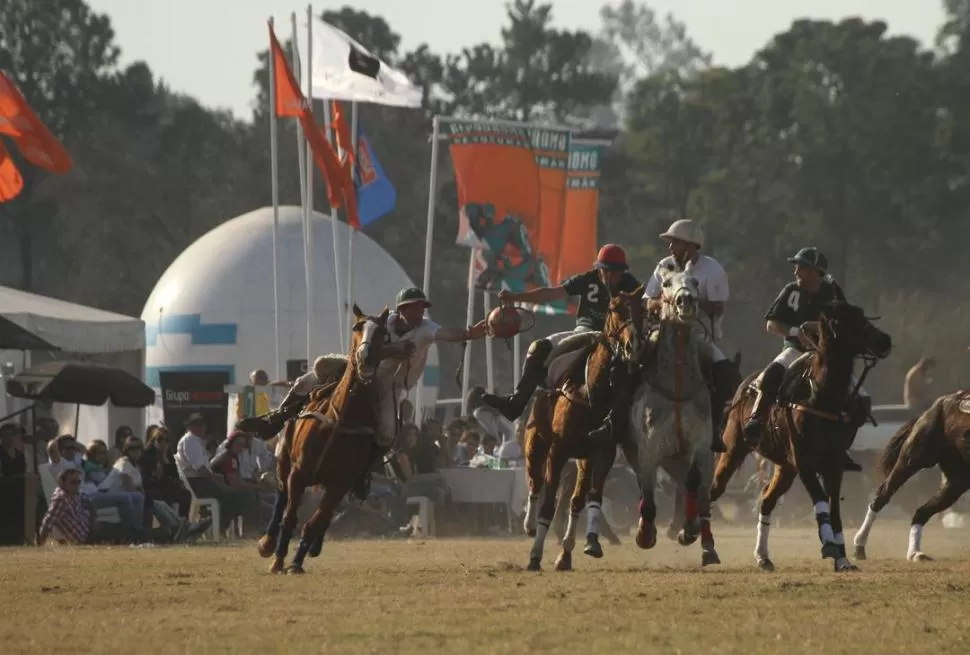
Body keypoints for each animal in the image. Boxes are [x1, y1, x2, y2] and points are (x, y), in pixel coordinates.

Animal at [258, 306, 394, 576]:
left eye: (383, 333)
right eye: (357, 327)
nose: (365, 358)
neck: (340, 418)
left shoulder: (339, 484)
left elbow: (315, 521)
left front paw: (296, 562)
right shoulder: (299, 473)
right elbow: (290, 516)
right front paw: (278, 560)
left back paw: (313, 546)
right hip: (284, 457)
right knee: (280, 497)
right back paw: (267, 543)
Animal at [520, 284, 644, 572]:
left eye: (642, 311)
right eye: (615, 309)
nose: (632, 347)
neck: (591, 393)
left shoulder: (602, 452)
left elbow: (591, 497)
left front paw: (587, 544)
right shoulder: (557, 451)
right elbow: (548, 503)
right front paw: (535, 555)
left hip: (581, 459)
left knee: (574, 499)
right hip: (535, 441)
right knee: (534, 482)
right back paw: (529, 526)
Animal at [628, 264, 720, 568]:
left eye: (695, 282)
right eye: (666, 283)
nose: (685, 301)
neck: (677, 387)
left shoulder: (700, 445)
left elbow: (692, 482)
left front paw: (688, 529)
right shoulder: (648, 450)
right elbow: (647, 493)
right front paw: (645, 534)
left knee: (701, 497)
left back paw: (706, 544)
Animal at [708, 302, 888, 576]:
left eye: (863, 317)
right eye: (846, 322)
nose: (884, 341)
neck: (823, 397)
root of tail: (744, 384)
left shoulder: (833, 463)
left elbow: (834, 508)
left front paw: (843, 558)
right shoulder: (805, 462)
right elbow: (821, 501)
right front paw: (829, 545)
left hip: (785, 467)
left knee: (766, 501)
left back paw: (762, 556)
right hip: (734, 449)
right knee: (714, 489)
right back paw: (700, 543)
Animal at [852, 392, 968, 560]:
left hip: (956, 482)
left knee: (921, 512)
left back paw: (915, 553)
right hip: (910, 461)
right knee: (881, 497)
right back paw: (859, 545)